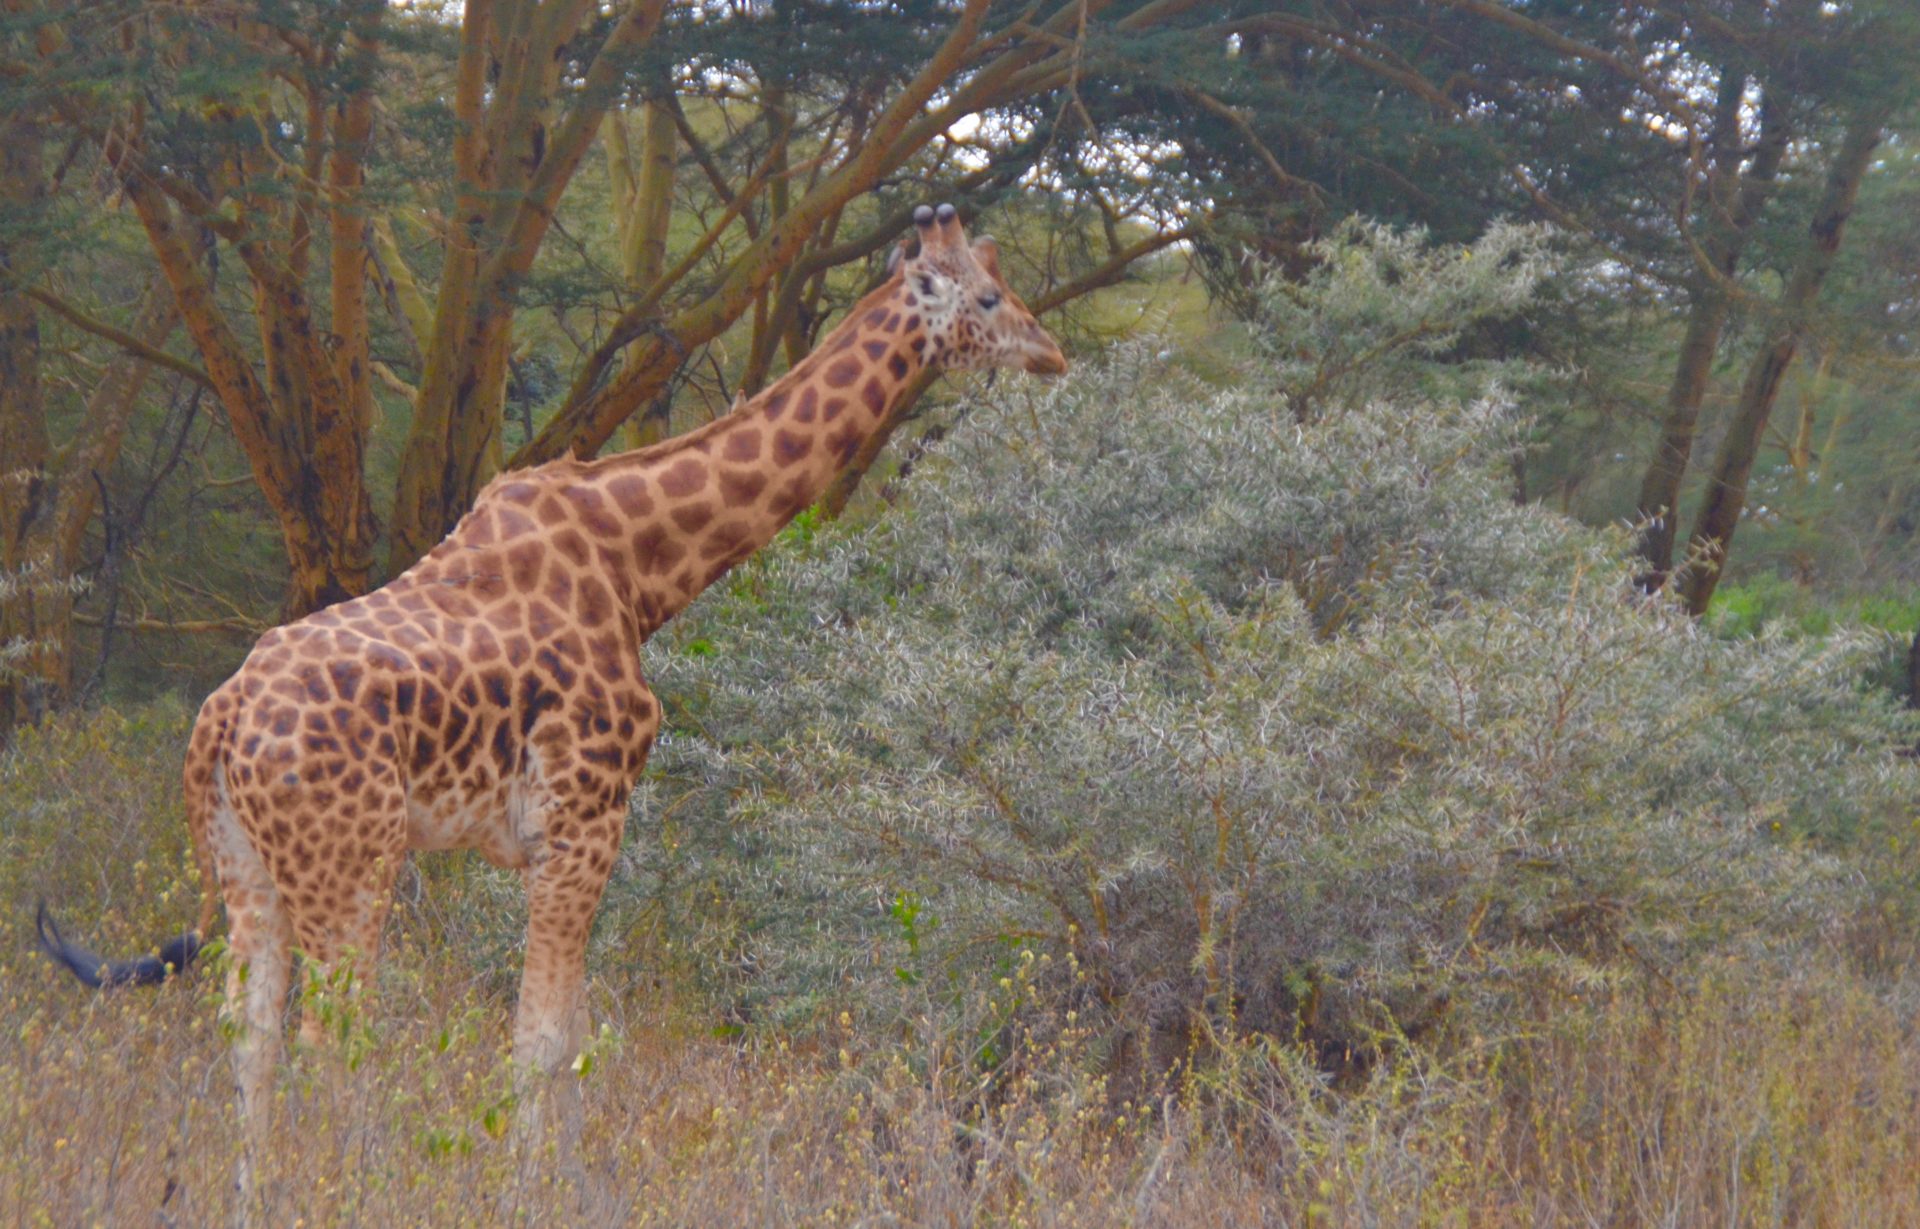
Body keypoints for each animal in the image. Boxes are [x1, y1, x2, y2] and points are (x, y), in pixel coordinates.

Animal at [37, 206, 1067, 1198]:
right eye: (986, 296)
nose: (1051, 351)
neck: (641, 563)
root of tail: (218, 723)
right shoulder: (581, 822)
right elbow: (541, 1044)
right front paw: (530, 1196)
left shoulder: (561, 836)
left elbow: (570, 1044)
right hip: (352, 865)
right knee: (331, 1043)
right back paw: (342, 1192)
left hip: (245, 867)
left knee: (246, 1039)